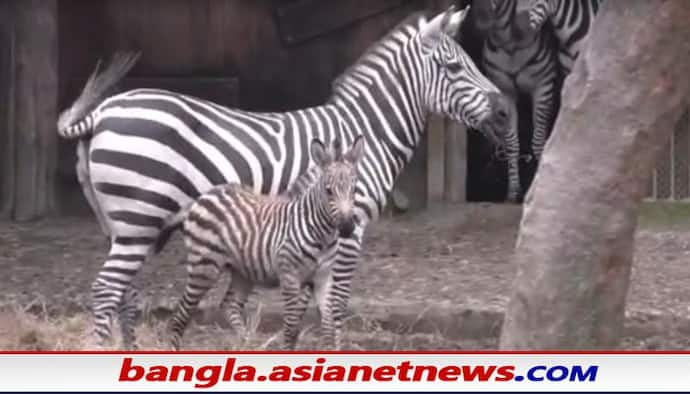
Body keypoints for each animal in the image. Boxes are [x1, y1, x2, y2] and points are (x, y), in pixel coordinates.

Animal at [167, 134, 366, 350]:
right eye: (329, 191)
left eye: (354, 190)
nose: (347, 228)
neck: (322, 236)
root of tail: (203, 197)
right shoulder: (290, 277)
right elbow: (291, 328)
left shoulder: (324, 278)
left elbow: (328, 326)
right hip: (204, 267)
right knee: (181, 313)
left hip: (243, 271)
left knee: (229, 305)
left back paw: (247, 344)